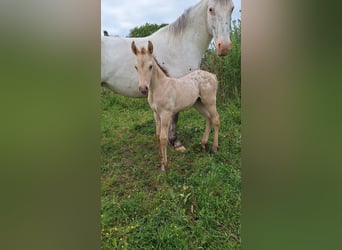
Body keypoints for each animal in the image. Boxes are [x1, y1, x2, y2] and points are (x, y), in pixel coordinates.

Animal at [101, 0, 235, 150]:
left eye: (232, 8)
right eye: (211, 9)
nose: (224, 47)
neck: (181, 44)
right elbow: (175, 117)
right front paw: (176, 142)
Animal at [131, 40, 219, 172]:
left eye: (150, 66)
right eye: (136, 67)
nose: (143, 89)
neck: (160, 87)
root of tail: (212, 75)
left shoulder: (166, 113)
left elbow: (163, 138)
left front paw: (164, 165)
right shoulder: (155, 113)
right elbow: (157, 135)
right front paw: (161, 159)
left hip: (210, 101)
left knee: (216, 119)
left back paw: (214, 149)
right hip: (198, 103)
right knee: (209, 119)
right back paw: (203, 145)